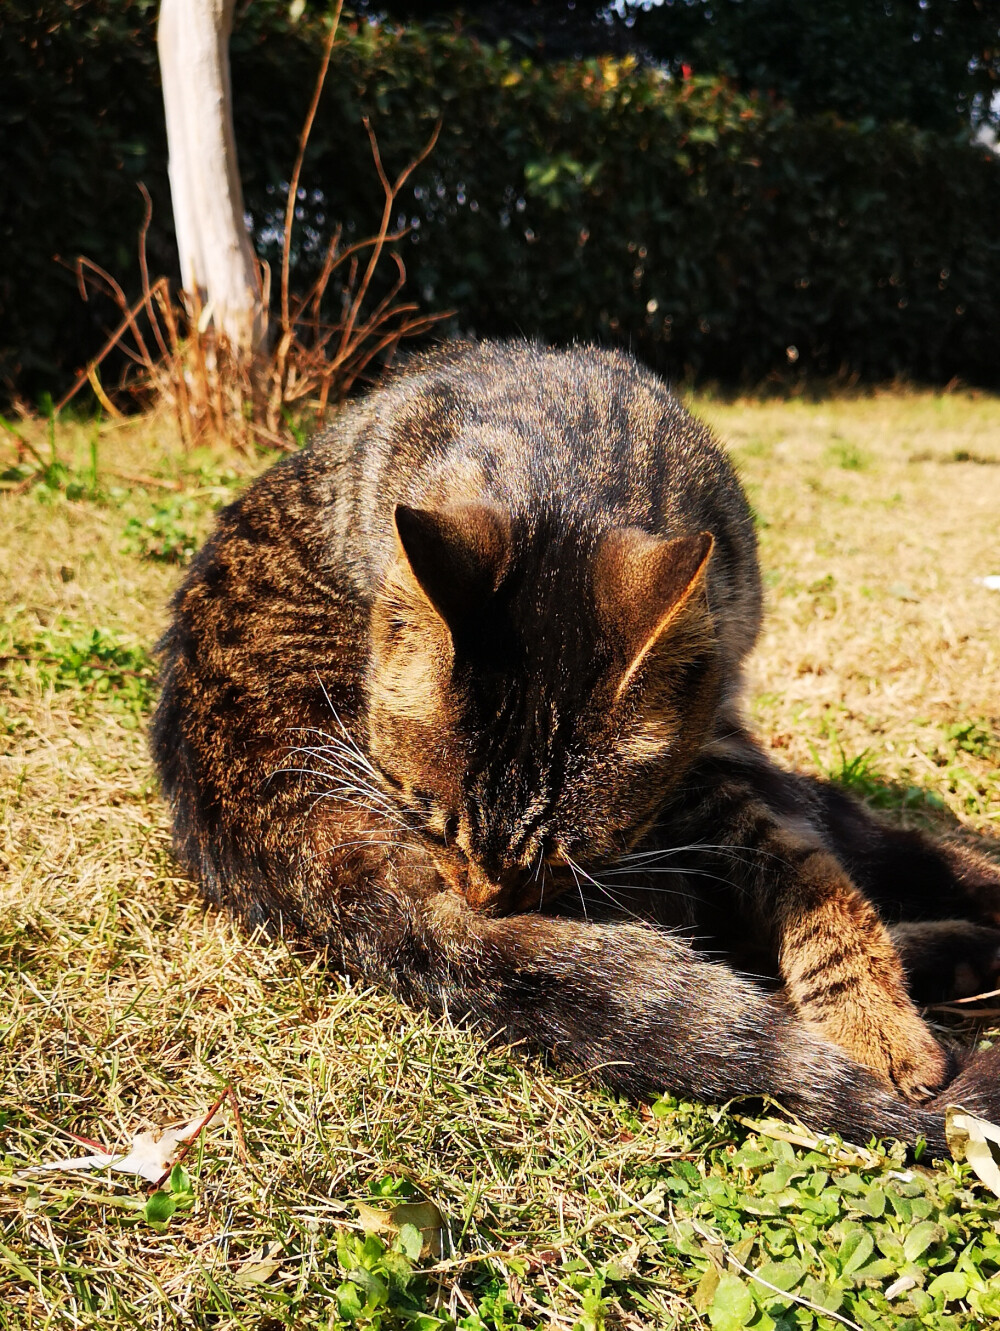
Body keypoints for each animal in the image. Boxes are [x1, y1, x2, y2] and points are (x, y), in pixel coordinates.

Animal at [152, 338, 1000, 1149]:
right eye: (431, 825)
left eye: (567, 855)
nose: (487, 902)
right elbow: (808, 877)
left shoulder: (709, 754)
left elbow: (811, 876)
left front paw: (875, 1015)